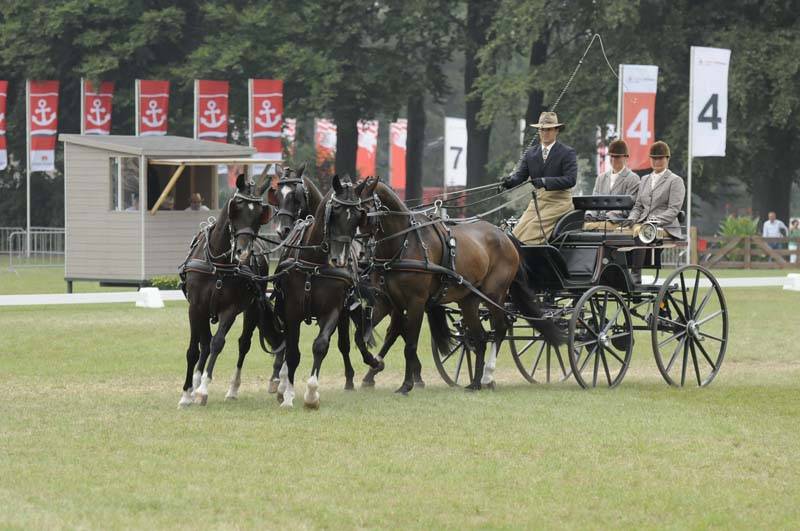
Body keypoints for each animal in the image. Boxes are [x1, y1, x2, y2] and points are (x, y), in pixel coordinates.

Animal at [177, 173, 283, 407]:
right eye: (237, 209)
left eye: (260, 215)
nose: (243, 252)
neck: (218, 263)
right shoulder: (195, 307)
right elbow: (194, 349)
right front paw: (187, 392)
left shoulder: (231, 309)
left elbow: (218, 343)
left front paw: (203, 389)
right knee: (204, 344)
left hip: (253, 309)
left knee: (243, 344)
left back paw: (233, 388)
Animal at [265, 165, 379, 393]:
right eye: (334, 212)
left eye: (358, 216)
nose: (340, 259)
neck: (314, 261)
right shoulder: (291, 310)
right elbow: (291, 350)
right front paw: (283, 382)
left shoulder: (333, 309)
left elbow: (321, 345)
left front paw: (311, 390)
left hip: (345, 309)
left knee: (346, 342)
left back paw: (356, 372)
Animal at [353, 178, 563, 393]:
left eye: (362, 211)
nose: (359, 254)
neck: (404, 243)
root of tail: (505, 237)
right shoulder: (389, 301)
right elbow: (372, 333)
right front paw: (374, 365)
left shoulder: (415, 302)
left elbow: (409, 344)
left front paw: (407, 384)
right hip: (469, 300)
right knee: (480, 337)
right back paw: (475, 382)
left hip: (494, 295)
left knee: (499, 329)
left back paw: (488, 375)